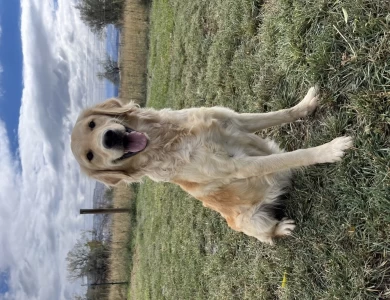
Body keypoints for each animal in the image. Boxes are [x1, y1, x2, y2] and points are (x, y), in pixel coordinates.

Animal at [71, 86, 354, 244]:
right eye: (90, 156)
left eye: (93, 124)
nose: (109, 139)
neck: (169, 139)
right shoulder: (238, 166)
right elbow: (292, 157)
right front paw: (330, 149)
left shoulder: (235, 120)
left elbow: (281, 114)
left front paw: (306, 104)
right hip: (255, 222)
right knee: (267, 236)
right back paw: (281, 229)